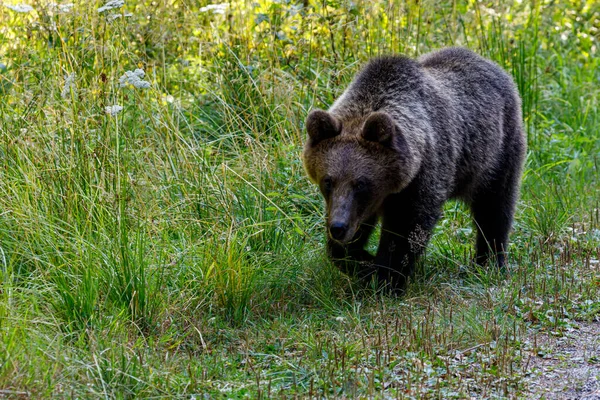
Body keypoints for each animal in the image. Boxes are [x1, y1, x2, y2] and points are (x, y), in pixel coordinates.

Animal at [304, 47, 524, 290]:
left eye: (360, 183)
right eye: (328, 181)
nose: (338, 227)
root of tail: (493, 65)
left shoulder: (422, 177)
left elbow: (406, 231)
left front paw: (386, 277)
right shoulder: (360, 205)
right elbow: (344, 244)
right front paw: (362, 262)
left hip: (496, 154)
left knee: (494, 208)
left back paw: (490, 263)